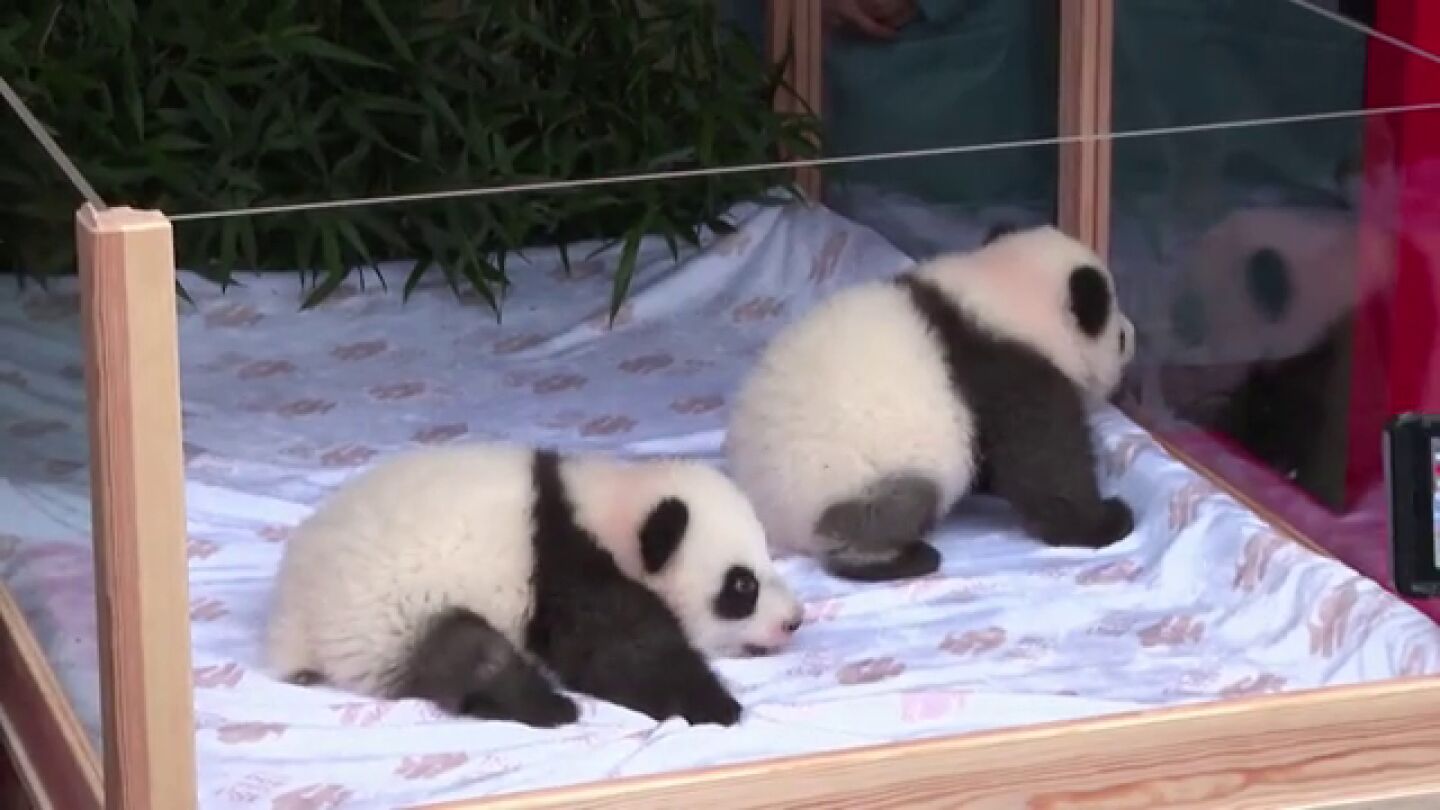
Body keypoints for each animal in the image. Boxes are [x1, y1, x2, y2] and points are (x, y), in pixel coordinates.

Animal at [263, 441, 805, 728]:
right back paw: (547, 705)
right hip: (390, 608)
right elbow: (622, 648)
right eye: (742, 586)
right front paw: (714, 705)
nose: (794, 622)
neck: (608, 506)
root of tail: (293, 618)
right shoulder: (563, 563)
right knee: (468, 655)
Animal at [725, 224, 1138, 582]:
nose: (1133, 336)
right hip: (843, 477)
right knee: (895, 506)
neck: (1002, 294)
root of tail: (767, 516)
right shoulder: (1005, 369)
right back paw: (897, 559)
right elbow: (1046, 461)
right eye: (1117, 337)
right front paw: (1105, 521)